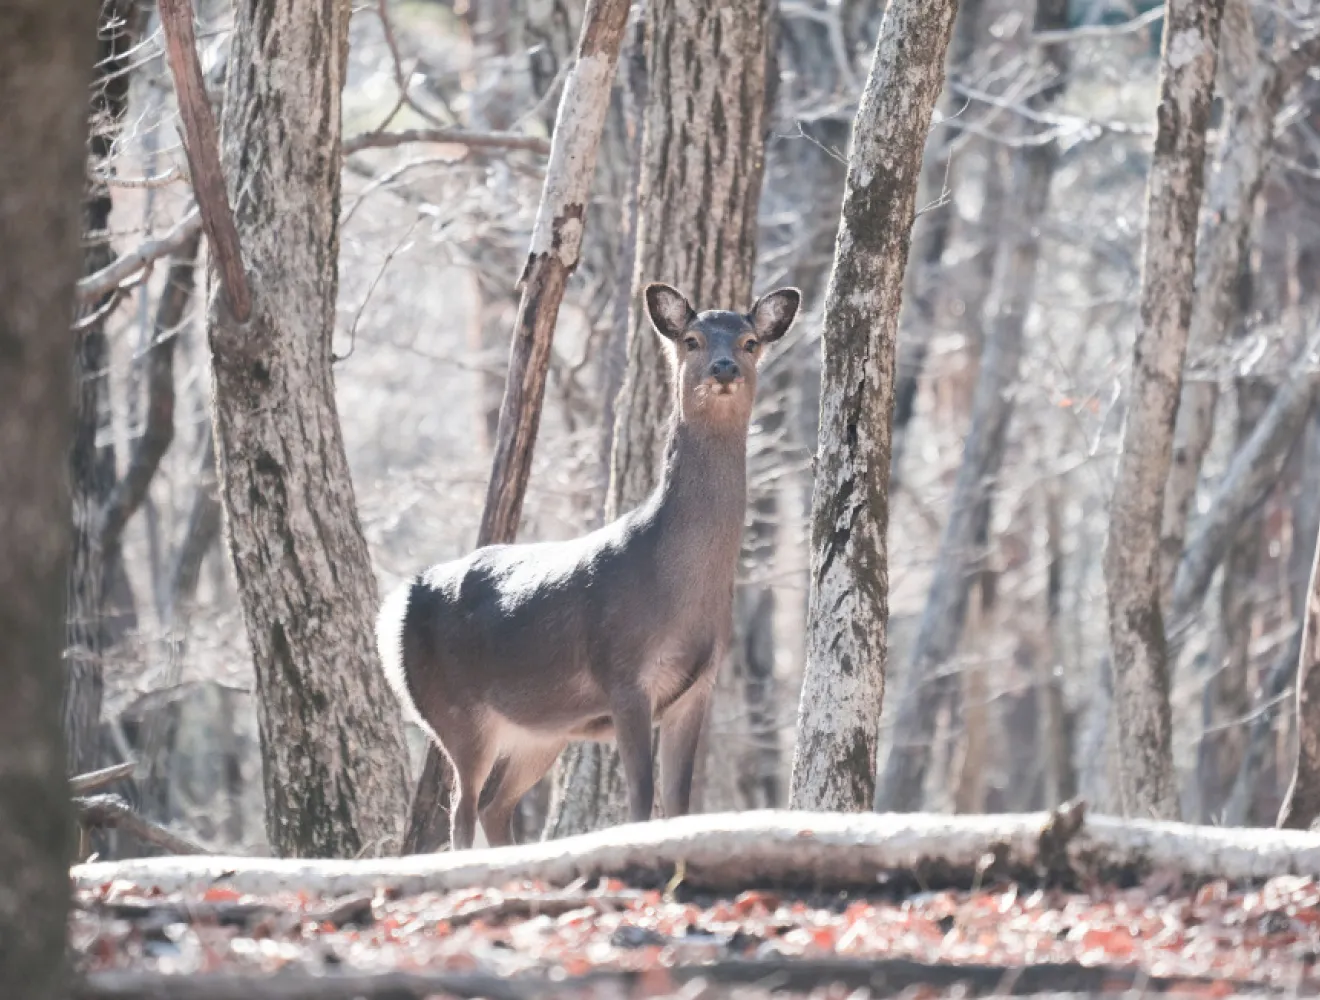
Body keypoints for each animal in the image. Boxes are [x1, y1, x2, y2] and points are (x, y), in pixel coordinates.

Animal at [377, 283, 797, 854]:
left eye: (751, 341)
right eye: (691, 339)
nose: (724, 367)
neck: (678, 586)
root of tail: (394, 605)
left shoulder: (697, 687)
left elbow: (679, 803)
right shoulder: (623, 672)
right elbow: (641, 800)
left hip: (541, 730)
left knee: (493, 806)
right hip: (454, 711)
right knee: (461, 811)